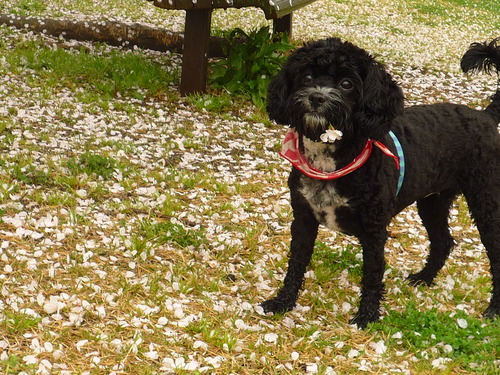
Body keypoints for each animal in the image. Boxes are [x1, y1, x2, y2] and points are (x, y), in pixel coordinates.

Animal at [262, 36, 500, 328]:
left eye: (347, 83)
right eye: (306, 76)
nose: (316, 97)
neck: (334, 159)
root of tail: (486, 116)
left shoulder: (374, 230)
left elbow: (373, 273)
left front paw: (367, 315)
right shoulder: (303, 219)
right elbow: (295, 262)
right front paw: (283, 301)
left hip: (485, 200)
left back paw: (494, 308)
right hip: (432, 201)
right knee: (443, 241)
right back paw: (424, 277)